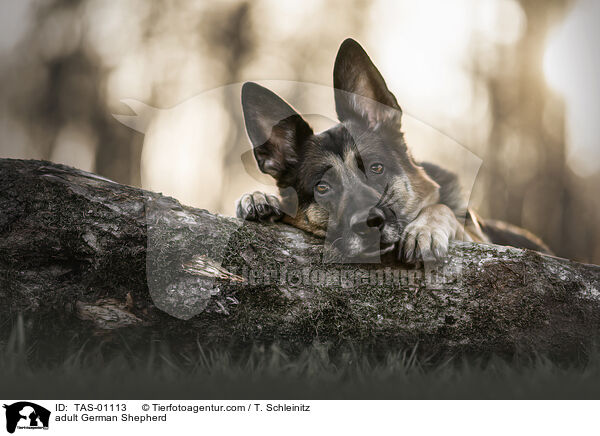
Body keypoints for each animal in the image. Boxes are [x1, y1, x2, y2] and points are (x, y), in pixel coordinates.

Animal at [233, 38, 548, 262]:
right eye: (322, 187)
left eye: (376, 168)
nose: (369, 223)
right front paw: (258, 197)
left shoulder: (479, 236)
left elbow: (441, 206)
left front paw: (425, 230)